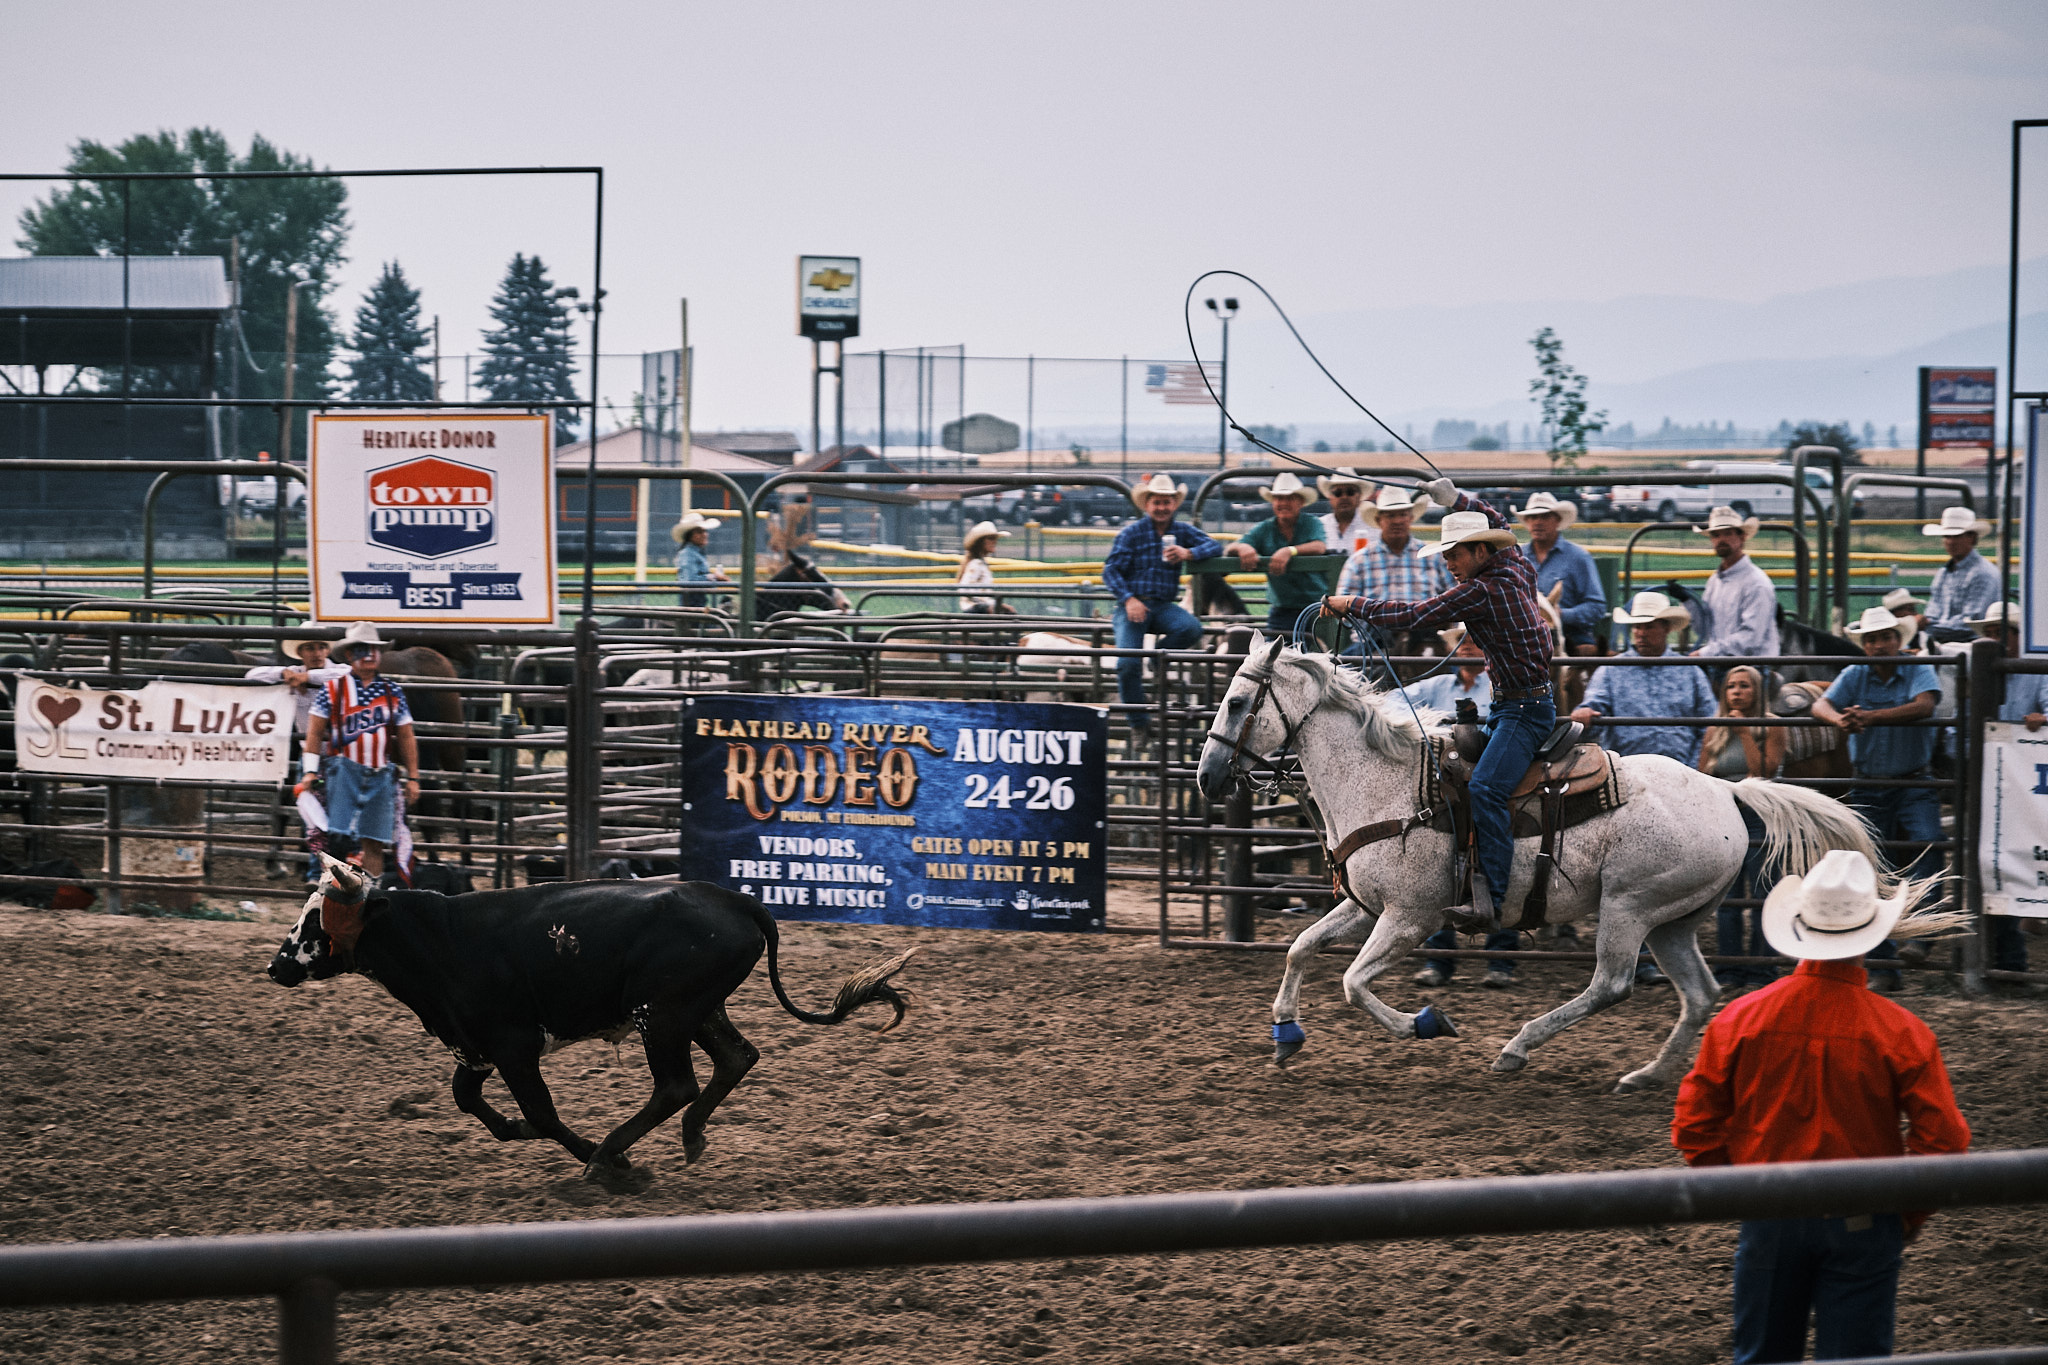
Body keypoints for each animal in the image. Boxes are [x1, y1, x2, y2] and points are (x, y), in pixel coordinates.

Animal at [1196, 634, 1892, 1096]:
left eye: (1236, 703)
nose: (1206, 778)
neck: (1388, 784)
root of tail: (1725, 789)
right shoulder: (1365, 905)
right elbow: (1301, 949)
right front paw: (1286, 1035)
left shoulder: (1411, 916)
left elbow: (1353, 983)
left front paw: (1427, 1022)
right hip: (1672, 921)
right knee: (1700, 995)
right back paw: (1647, 1075)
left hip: (1628, 908)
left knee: (1612, 984)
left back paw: (1517, 1048)